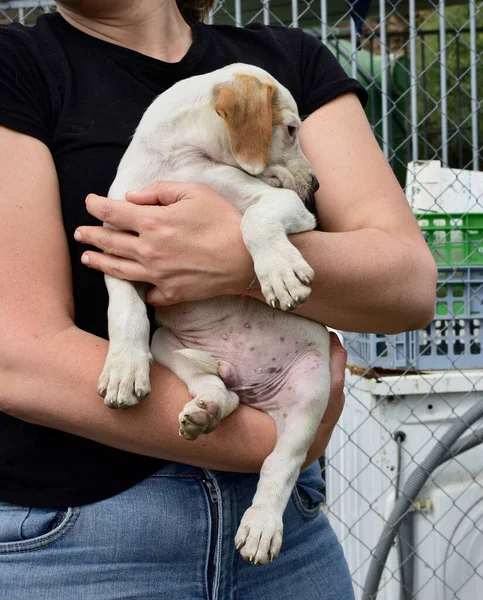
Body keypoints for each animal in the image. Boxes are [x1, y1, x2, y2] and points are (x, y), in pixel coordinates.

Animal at [100, 63, 330, 564]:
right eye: (291, 129)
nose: (317, 185)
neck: (179, 160)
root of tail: (250, 387)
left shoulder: (288, 209)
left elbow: (252, 219)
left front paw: (278, 272)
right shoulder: (118, 248)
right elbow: (125, 309)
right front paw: (124, 369)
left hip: (311, 387)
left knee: (281, 463)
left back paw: (262, 526)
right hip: (168, 346)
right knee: (220, 391)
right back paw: (204, 411)